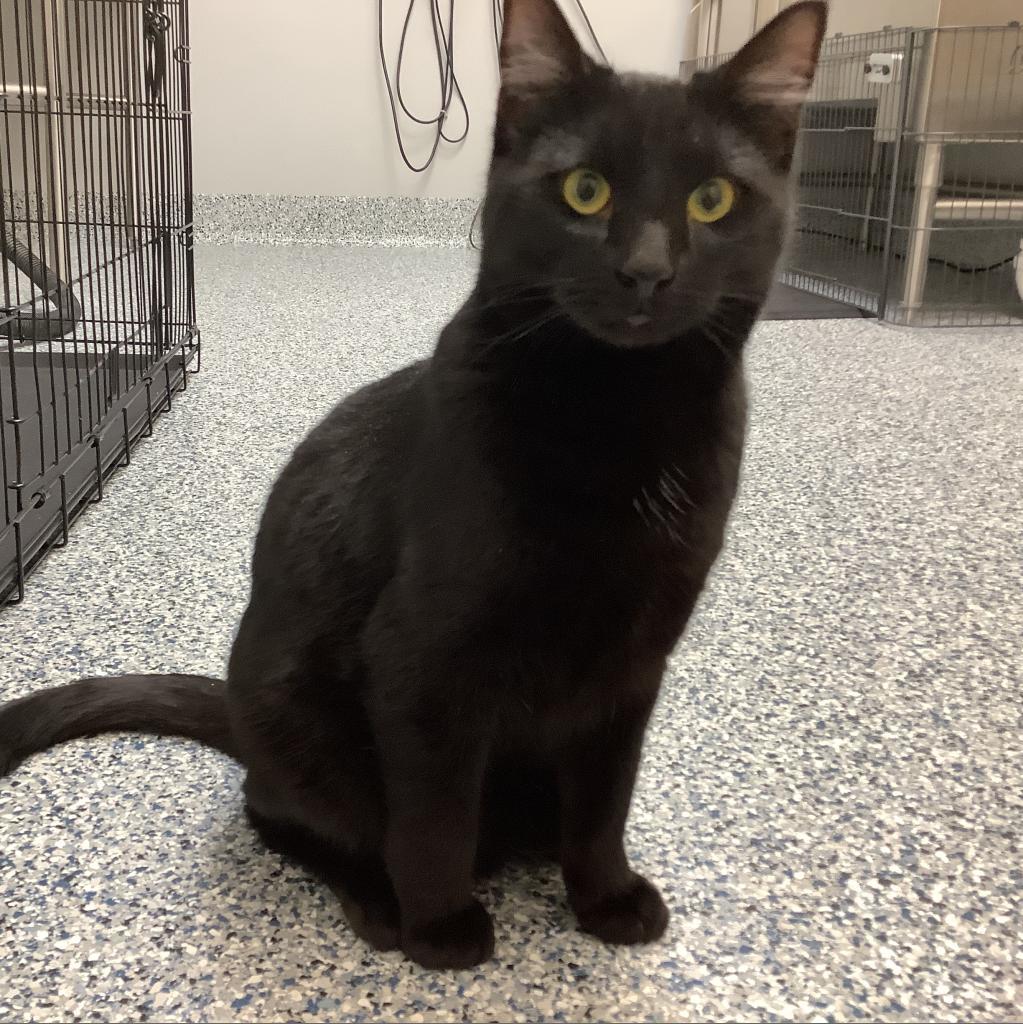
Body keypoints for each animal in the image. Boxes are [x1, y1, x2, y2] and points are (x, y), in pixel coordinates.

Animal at [0, 0, 827, 966]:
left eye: (712, 199)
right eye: (584, 191)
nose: (647, 270)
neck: (615, 423)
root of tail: (238, 714)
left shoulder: (633, 663)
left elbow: (604, 799)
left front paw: (605, 896)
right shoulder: (425, 662)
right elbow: (432, 814)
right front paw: (442, 926)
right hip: (294, 718)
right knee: (283, 814)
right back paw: (378, 898)